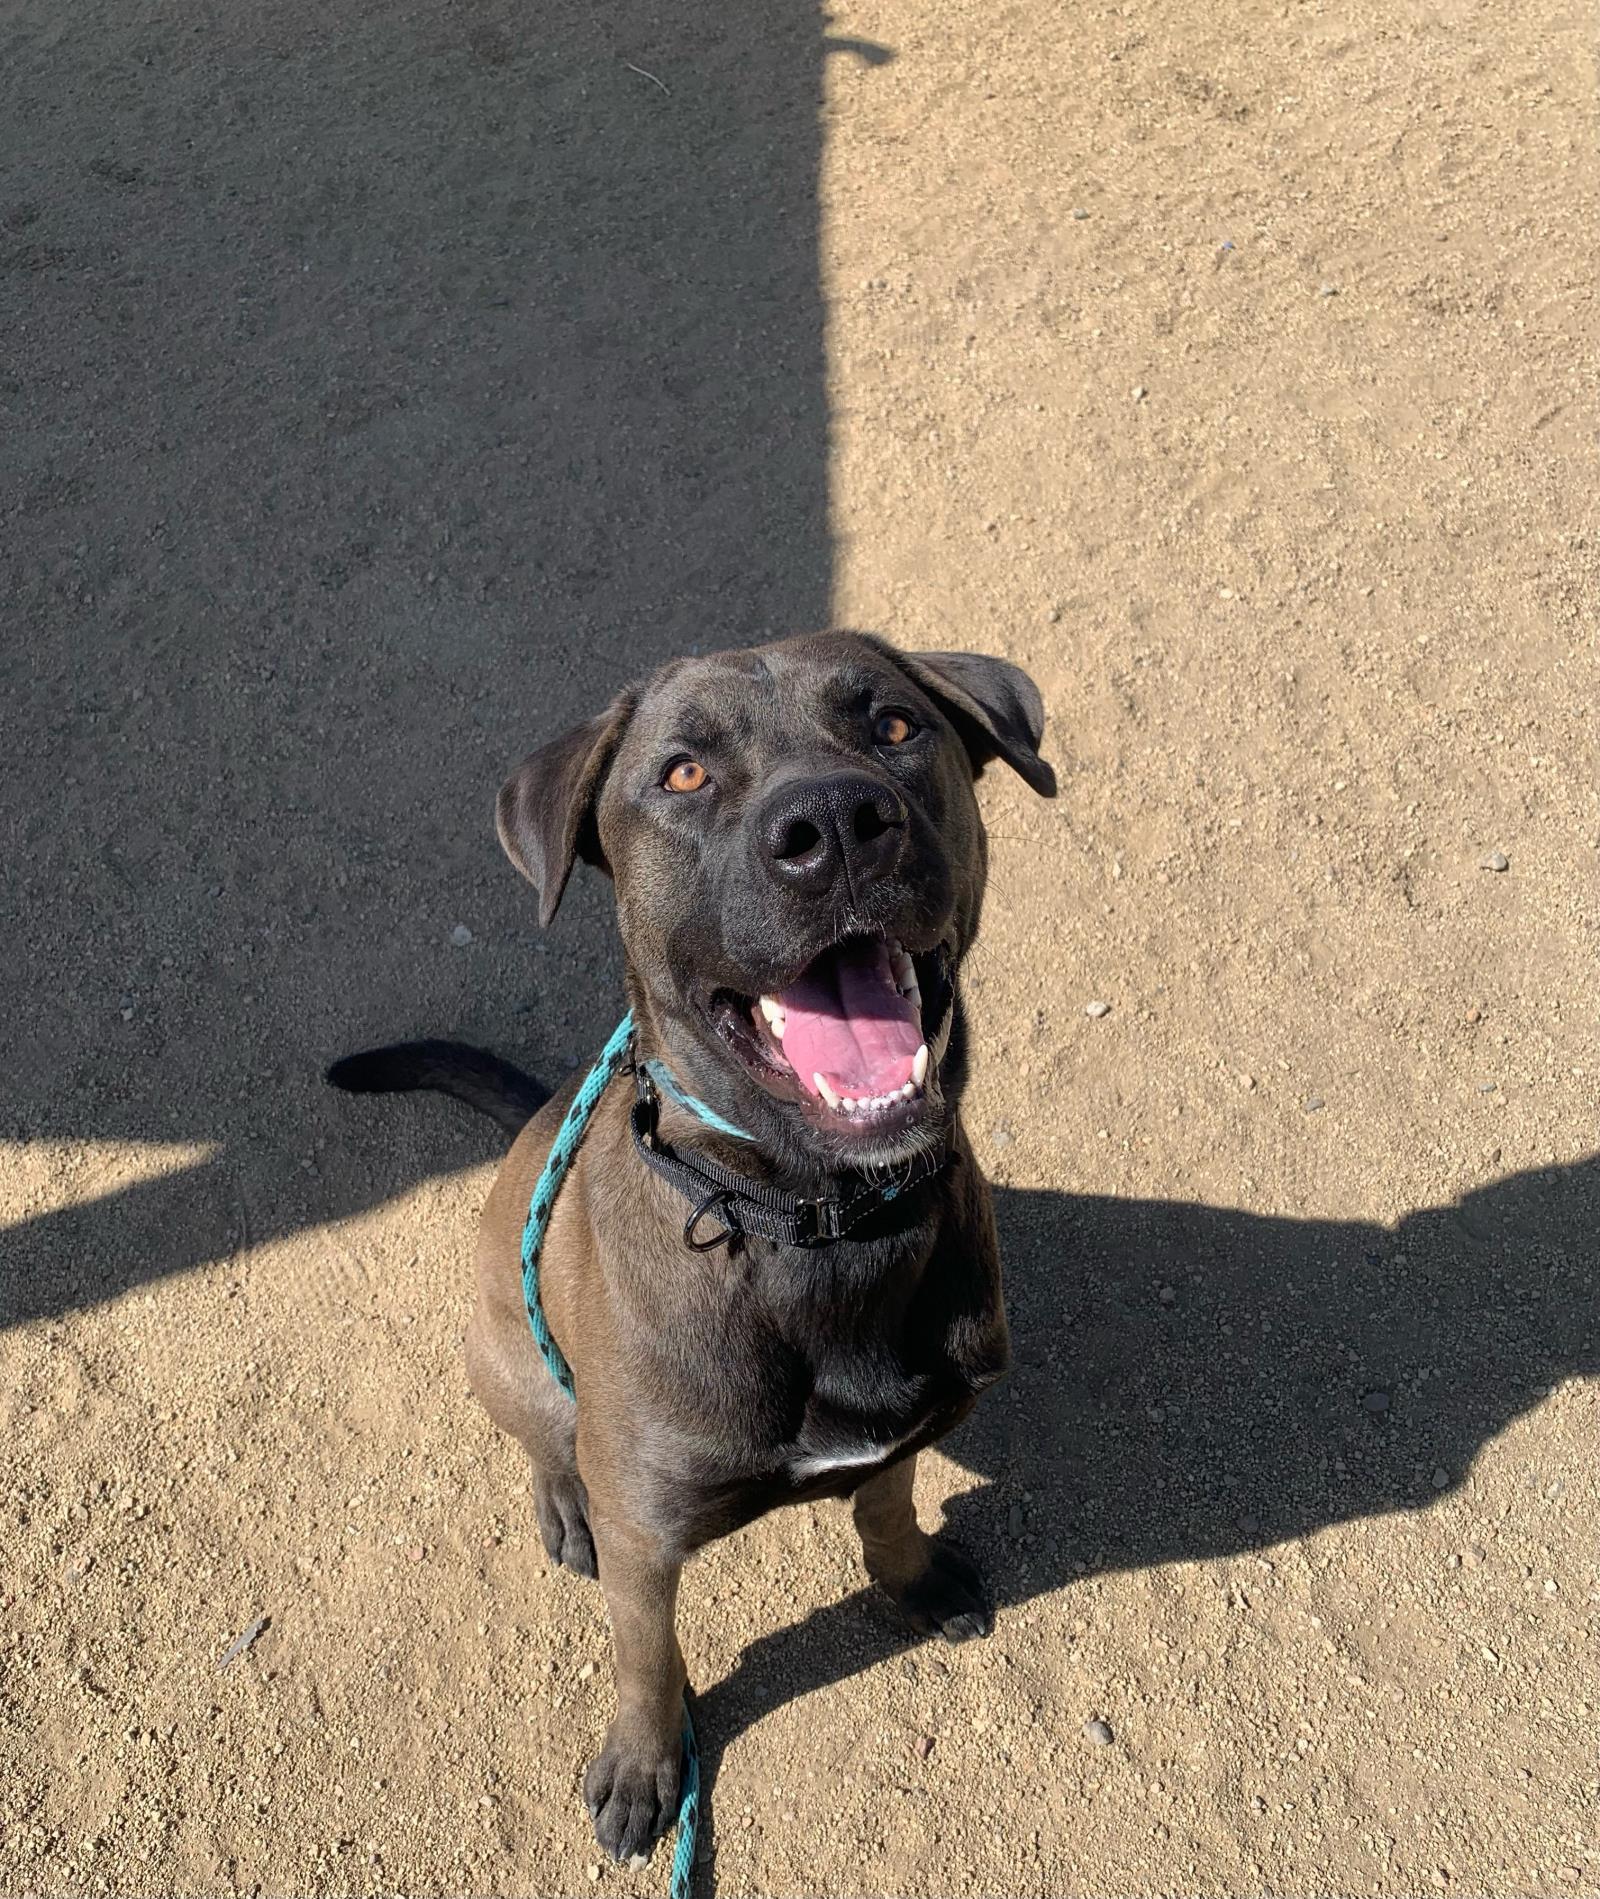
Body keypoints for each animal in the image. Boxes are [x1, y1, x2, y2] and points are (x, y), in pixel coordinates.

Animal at [326, 630, 1055, 1861]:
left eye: (895, 725)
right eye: (683, 773)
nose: (837, 825)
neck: (810, 1223)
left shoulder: (908, 1430)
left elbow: (885, 1505)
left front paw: (910, 1579)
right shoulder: (649, 1545)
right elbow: (647, 1657)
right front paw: (642, 1765)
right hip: (507, 1355)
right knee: (548, 1438)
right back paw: (563, 1498)